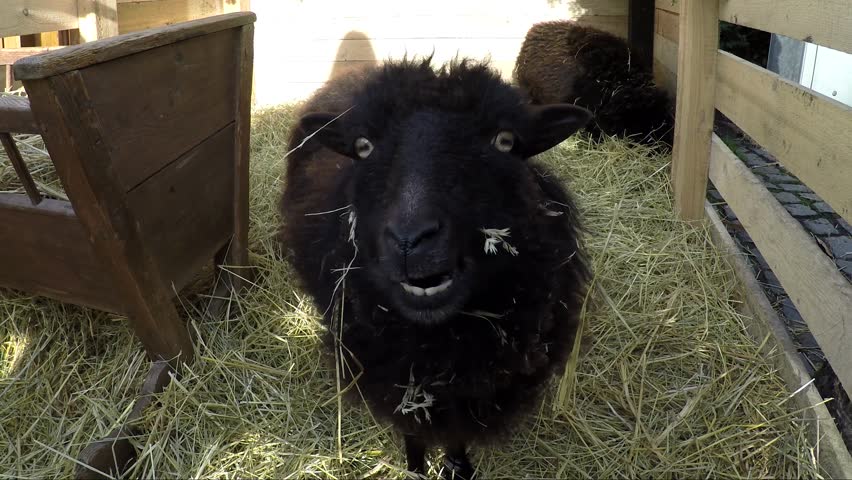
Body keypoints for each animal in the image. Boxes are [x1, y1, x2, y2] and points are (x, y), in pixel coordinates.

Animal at [280, 57, 592, 480]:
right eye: (363, 146)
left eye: (505, 141)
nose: (411, 240)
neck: (437, 343)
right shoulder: (394, 379)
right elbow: (413, 432)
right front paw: (416, 467)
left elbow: (456, 436)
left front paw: (458, 467)